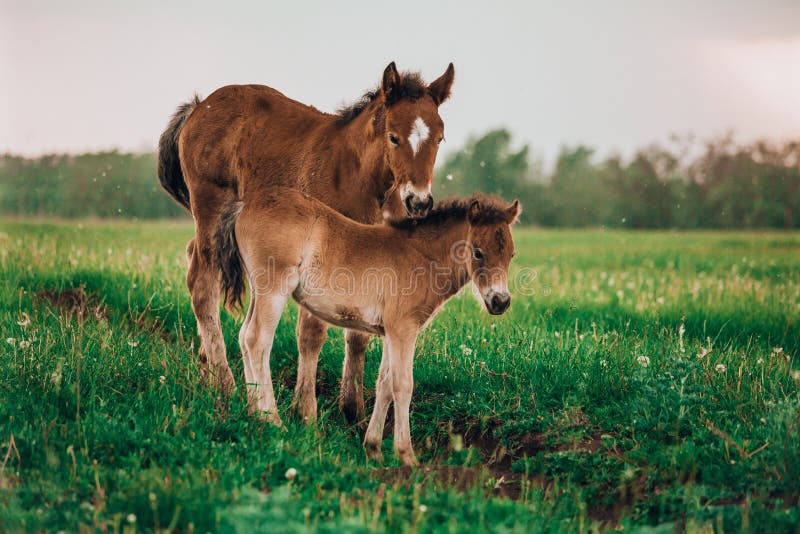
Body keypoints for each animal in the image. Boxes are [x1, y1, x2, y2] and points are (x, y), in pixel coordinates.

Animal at [157, 62, 455, 426]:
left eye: (439, 139)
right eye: (394, 137)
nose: (419, 202)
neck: (358, 174)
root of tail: (198, 107)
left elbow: (358, 335)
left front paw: (353, 410)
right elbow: (311, 333)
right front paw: (306, 411)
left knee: (194, 261)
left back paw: (206, 369)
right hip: (211, 209)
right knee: (202, 285)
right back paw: (224, 385)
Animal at [214, 187, 519, 465]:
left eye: (511, 254)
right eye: (478, 252)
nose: (500, 301)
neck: (421, 257)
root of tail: (244, 205)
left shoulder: (390, 332)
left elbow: (384, 384)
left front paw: (373, 448)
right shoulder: (403, 329)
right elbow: (403, 385)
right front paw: (406, 455)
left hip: (259, 291)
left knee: (243, 337)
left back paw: (254, 415)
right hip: (273, 288)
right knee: (257, 341)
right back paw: (273, 421)